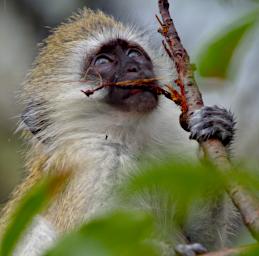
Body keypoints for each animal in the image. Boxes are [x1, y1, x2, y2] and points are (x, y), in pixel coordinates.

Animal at [0, 8, 238, 256]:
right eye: (103, 61)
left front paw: (216, 125)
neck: (128, 140)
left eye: (134, 54)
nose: (135, 68)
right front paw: (171, 250)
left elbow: (206, 241)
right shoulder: (93, 163)